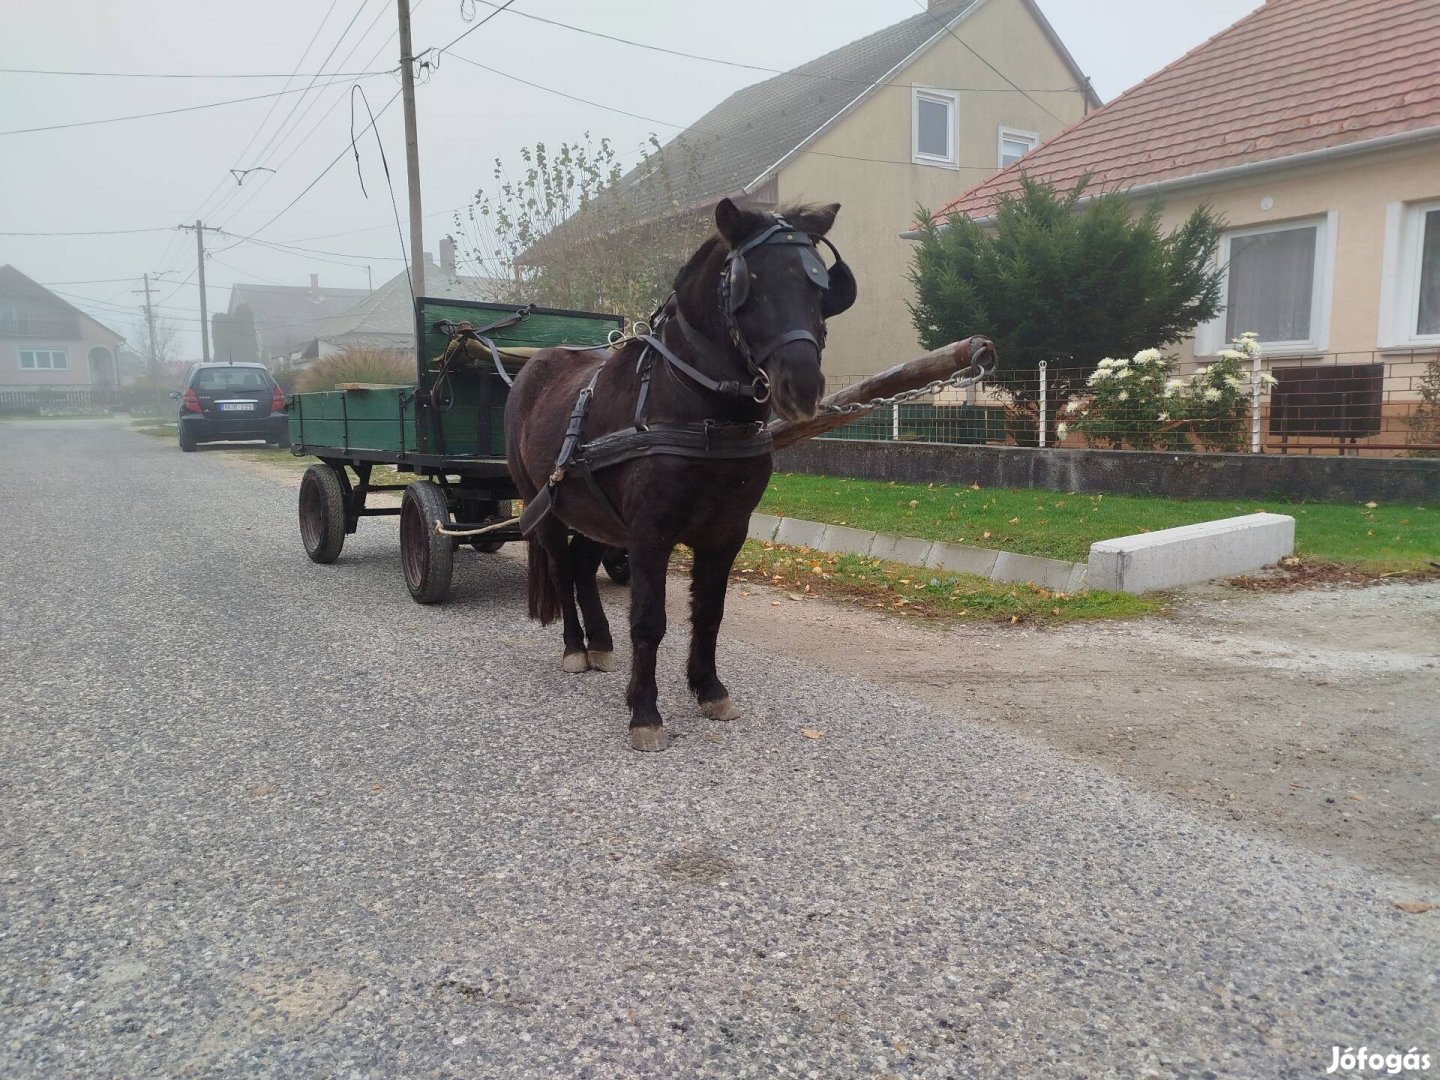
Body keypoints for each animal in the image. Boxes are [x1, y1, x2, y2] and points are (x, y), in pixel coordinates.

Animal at [504, 197, 852, 754]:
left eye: (819, 288)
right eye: (749, 285)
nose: (801, 386)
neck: (698, 408)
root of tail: (532, 366)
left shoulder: (727, 533)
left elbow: (709, 612)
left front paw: (709, 690)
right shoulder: (650, 534)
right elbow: (649, 621)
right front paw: (645, 713)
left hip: (598, 515)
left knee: (581, 568)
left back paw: (601, 643)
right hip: (547, 506)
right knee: (561, 569)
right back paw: (576, 649)